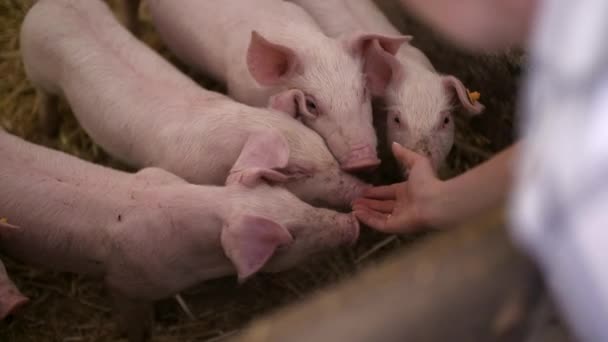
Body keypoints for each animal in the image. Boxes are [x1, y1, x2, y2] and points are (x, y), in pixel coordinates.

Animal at [19, 0, 368, 208]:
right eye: (297, 172)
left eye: (325, 151)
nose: (360, 186)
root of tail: (49, 4)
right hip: (36, 69)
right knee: (45, 97)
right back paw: (47, 131)